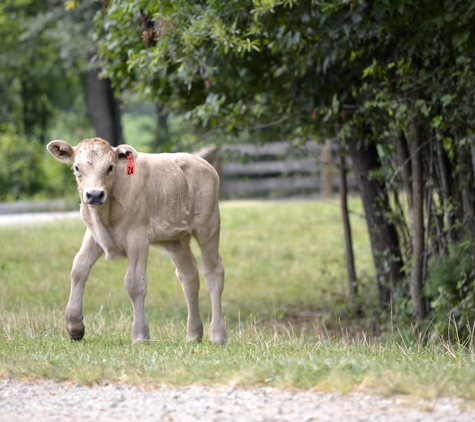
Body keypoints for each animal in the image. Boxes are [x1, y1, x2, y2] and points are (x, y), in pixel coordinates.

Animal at [47, 137, 226, 344]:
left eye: (110, 166)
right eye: (77, 167)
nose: (94, 195)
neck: (105, 214)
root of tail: (201, 161)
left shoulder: (137, 237)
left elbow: (134, 284)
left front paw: (140, 335)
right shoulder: (93, 234)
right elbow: (78, 269)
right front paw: (74, 326)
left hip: (209, 224)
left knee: (213, 273)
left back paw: (218, 334)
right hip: (177, 239)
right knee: (189, 276)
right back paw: (193, 335)